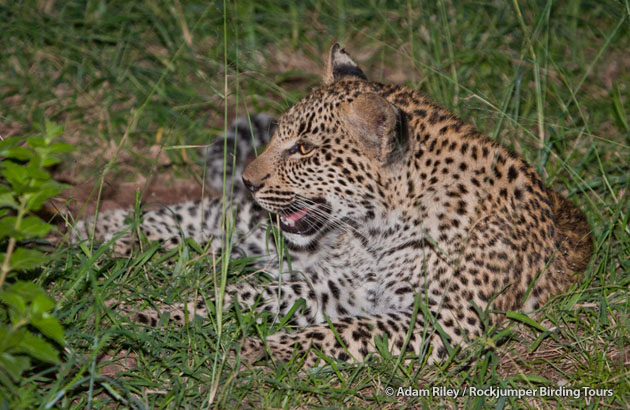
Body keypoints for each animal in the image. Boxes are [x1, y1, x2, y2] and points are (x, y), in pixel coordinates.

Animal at [71, 43, 596, 366]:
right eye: (279, 137)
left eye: (303, 149)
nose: (248, 179)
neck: (375, 233)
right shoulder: (338, 285)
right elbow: (238, 296)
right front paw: (147, 314)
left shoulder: (445, 320)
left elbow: (339, 331)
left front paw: (261, 349)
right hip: (265, 229)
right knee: (214, 213)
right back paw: (100, 232)